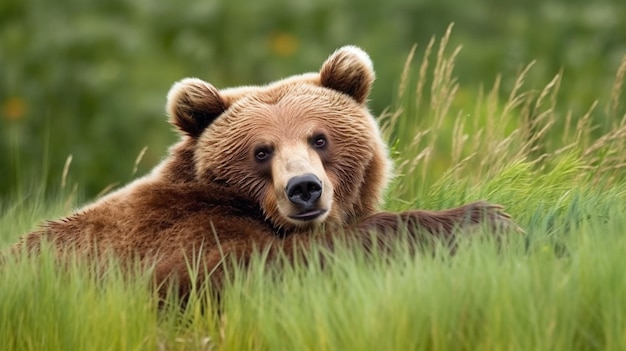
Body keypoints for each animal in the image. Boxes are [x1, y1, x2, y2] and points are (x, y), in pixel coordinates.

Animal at [12, 46, 516, 300]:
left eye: (319, 138)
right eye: (261, 150)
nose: (304, 189)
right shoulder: (175, 232)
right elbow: (243, 269)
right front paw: (482, 218)